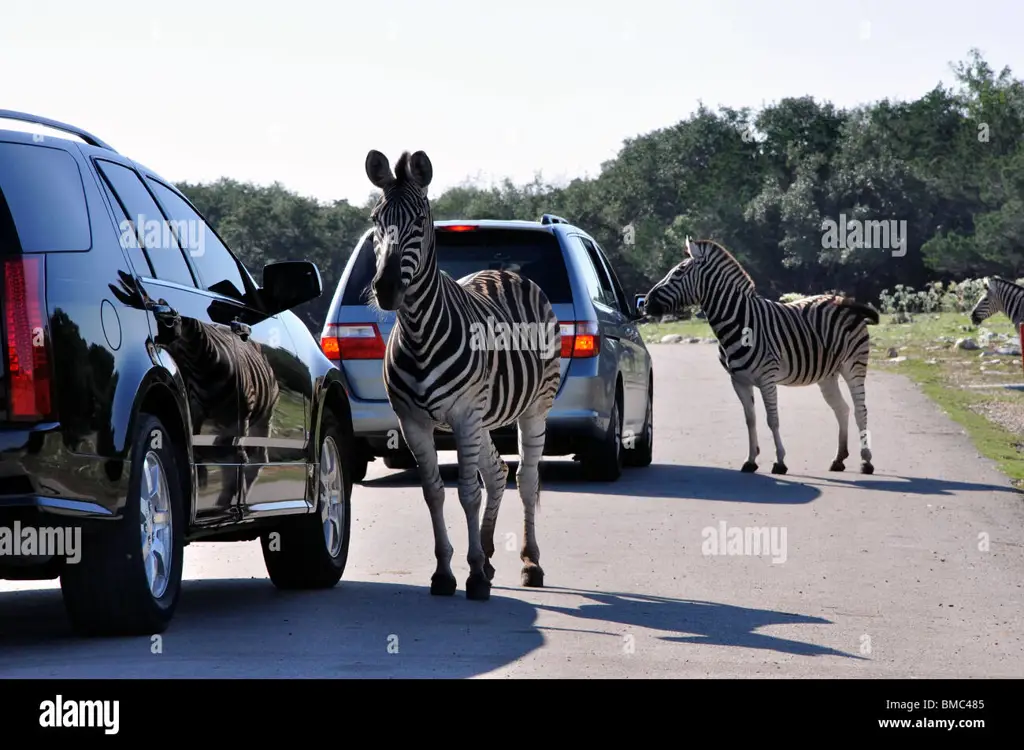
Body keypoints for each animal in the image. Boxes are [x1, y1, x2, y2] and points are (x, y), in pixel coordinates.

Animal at [366, 149, 561, 602]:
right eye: (374, 220)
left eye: (419, 221)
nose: (386, 289)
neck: (420, 332)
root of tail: (505, 271)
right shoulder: (413, 422)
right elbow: (434, 493)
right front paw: (445, 572)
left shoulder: (463, 415)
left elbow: (468, 494)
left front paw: (472, 577)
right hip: (482, 417)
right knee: (498, 471)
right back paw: (488, 556)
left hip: (533, 408)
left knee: (526, 478)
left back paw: (530, 563)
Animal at [643, 238, 876, 475]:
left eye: (678, 272)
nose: (645, 302)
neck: (740, 322)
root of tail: (845, 300)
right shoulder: (739, 381)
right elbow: (750, 420)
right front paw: (751, 460)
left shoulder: (767, 378)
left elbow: (772, 420)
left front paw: (780, 462)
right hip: (828, 374)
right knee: (842, 409)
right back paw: (839, 459)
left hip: (854, 365)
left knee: (860, 410)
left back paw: (866, 461)